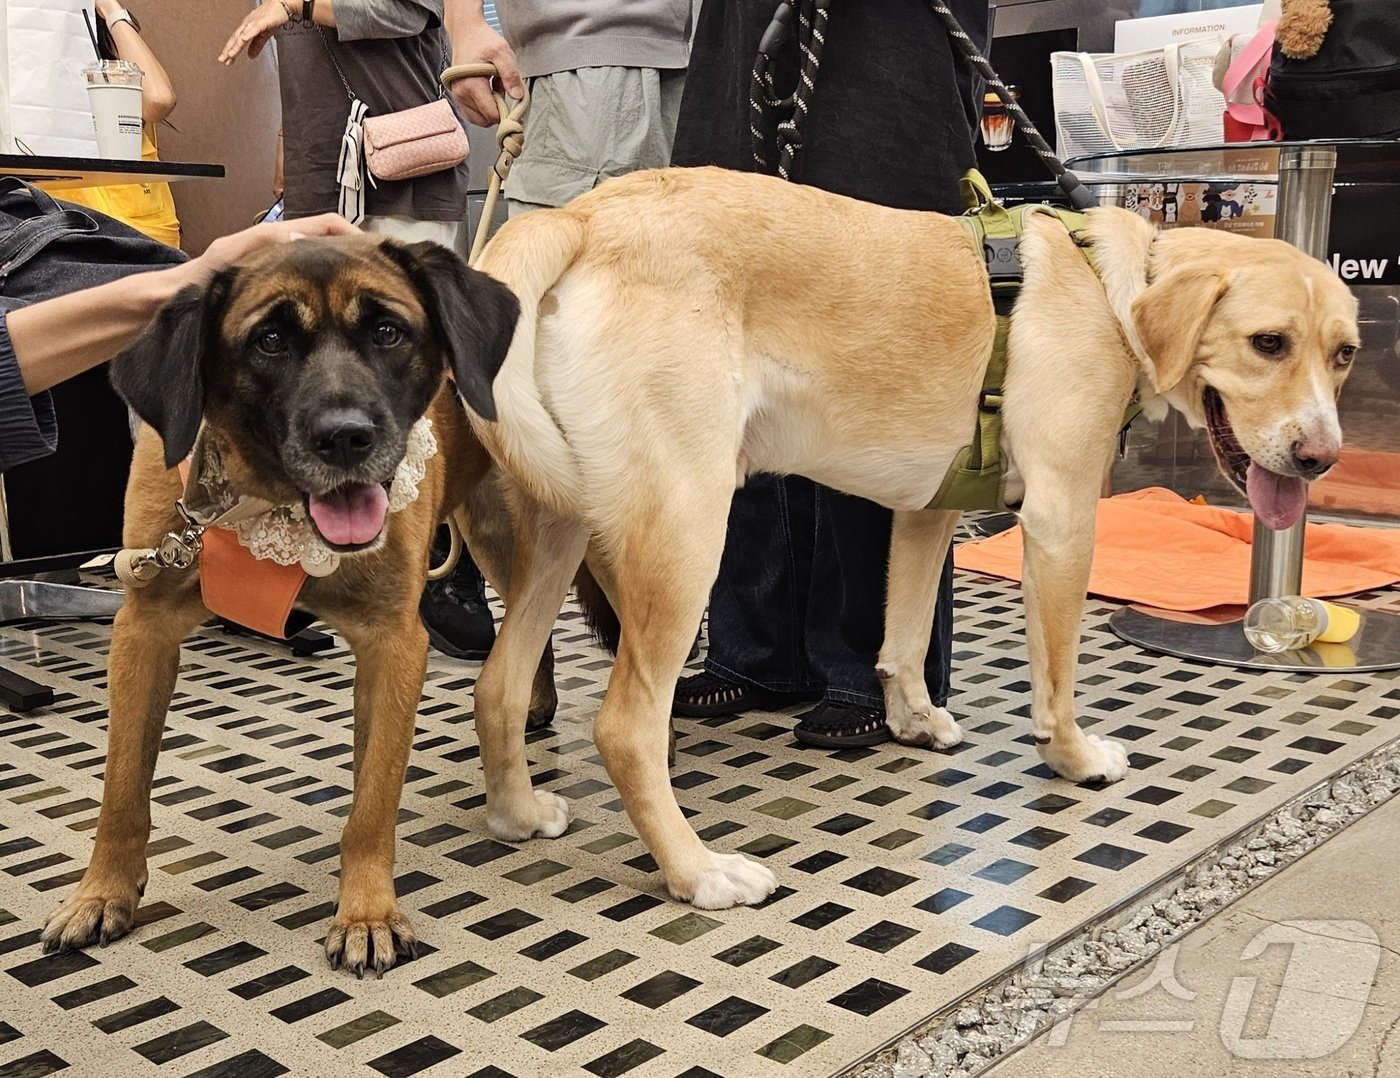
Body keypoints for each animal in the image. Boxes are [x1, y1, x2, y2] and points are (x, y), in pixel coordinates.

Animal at [42, 235, 529, 974]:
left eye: (387, 331)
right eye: (269, 341)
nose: (346, 438)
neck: (270, 504)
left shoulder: (393, 642)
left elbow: (373, 800)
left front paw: (366, 912)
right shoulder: (143, 629)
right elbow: (121, 787)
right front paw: (101, 893)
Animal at [456, 165, 1355, 907]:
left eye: (1343, 355)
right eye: (1268, 343)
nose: (1322, 458)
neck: (1112, 289)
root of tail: (583, 215)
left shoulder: (930, 511)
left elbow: (906, 634)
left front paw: (912, 718)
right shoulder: (1063, 517)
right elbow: (1057, 674)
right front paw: (1072, 758)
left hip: (562, 531)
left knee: (500, 684)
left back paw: (515, 812)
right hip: (685, 531)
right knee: (626, 727)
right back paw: (697, 872)